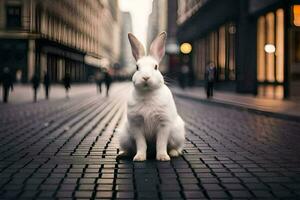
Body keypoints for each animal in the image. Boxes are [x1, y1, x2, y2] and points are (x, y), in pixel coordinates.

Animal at [119, 32, 185, 162]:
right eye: (137, 67)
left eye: (156, 67)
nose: (145, 77)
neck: (148, 93)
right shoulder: (136, 125)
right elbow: (141, 144)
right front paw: (139, 158)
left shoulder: (164, 124)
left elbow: (161, 143)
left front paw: (163, 157)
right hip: (124, 137)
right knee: (130, 148)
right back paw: (123, 154)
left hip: (177, 134)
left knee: (176, 147)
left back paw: (173, 153)